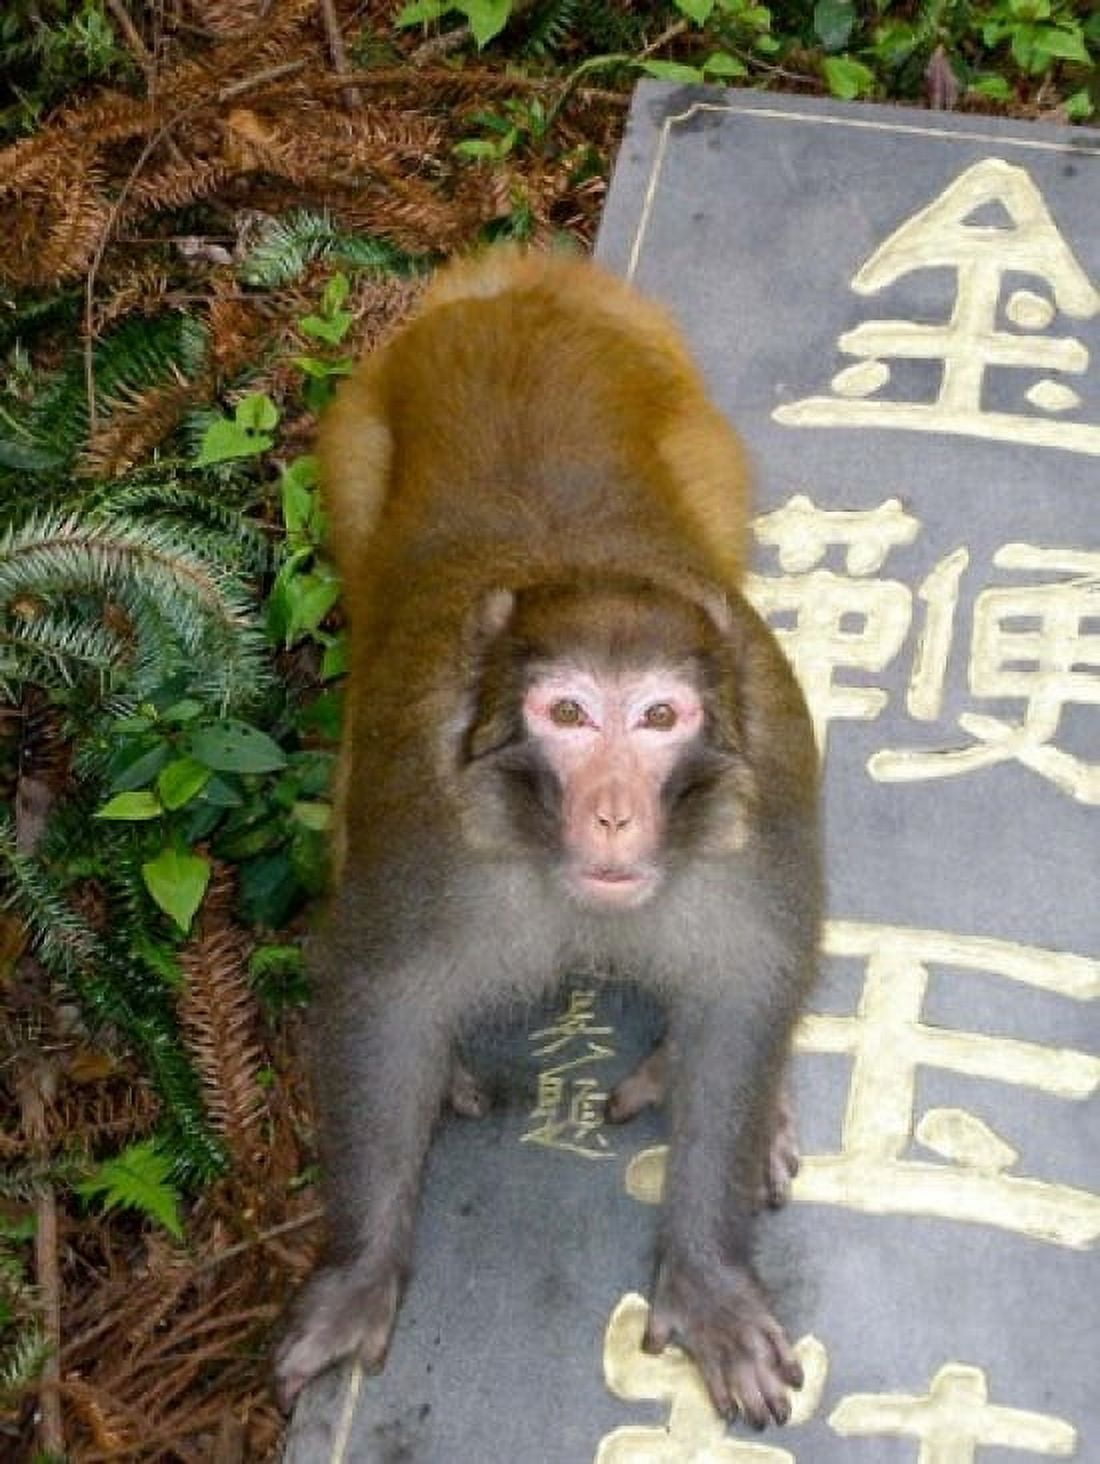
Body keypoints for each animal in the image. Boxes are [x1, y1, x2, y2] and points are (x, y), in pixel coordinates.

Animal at [273, 247, 821, 1431]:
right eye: (567, 713)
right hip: (351, 451)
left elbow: (745, 995)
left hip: (703, 441)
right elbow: (383, 1002)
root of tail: (517, 288)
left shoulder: (767, 814)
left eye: (658, 717)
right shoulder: (427, 835)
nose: (612, 810)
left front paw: (707, 1278)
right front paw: (360, 1274)